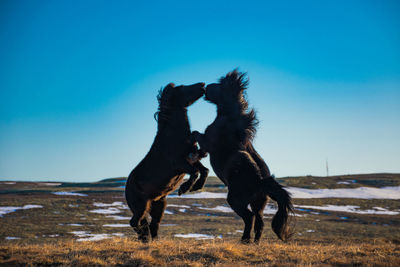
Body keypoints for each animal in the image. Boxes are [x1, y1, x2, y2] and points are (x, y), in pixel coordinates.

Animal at [126, 82, 209, 244]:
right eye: (182, 87)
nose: (202, 85)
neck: (173, 135)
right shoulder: (179, 163)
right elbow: (196, 172)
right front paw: (184, 188)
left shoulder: (191, 159)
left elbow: (204, 170)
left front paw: (196, 187)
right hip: (141, 205)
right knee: (135, 222)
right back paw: (145, 239)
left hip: (159, 204)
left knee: (152, 224)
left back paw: (151, 240)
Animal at [192, 70, 296, 244]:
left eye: (221, 85)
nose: (205, 87)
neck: (230, 121)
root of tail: (260, 181)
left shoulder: (207, 141)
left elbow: (196, 134)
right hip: (258, 204)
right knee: (260, 222)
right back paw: (254, 243)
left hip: (236, 200)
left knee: (249, 217)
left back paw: (245, 239)